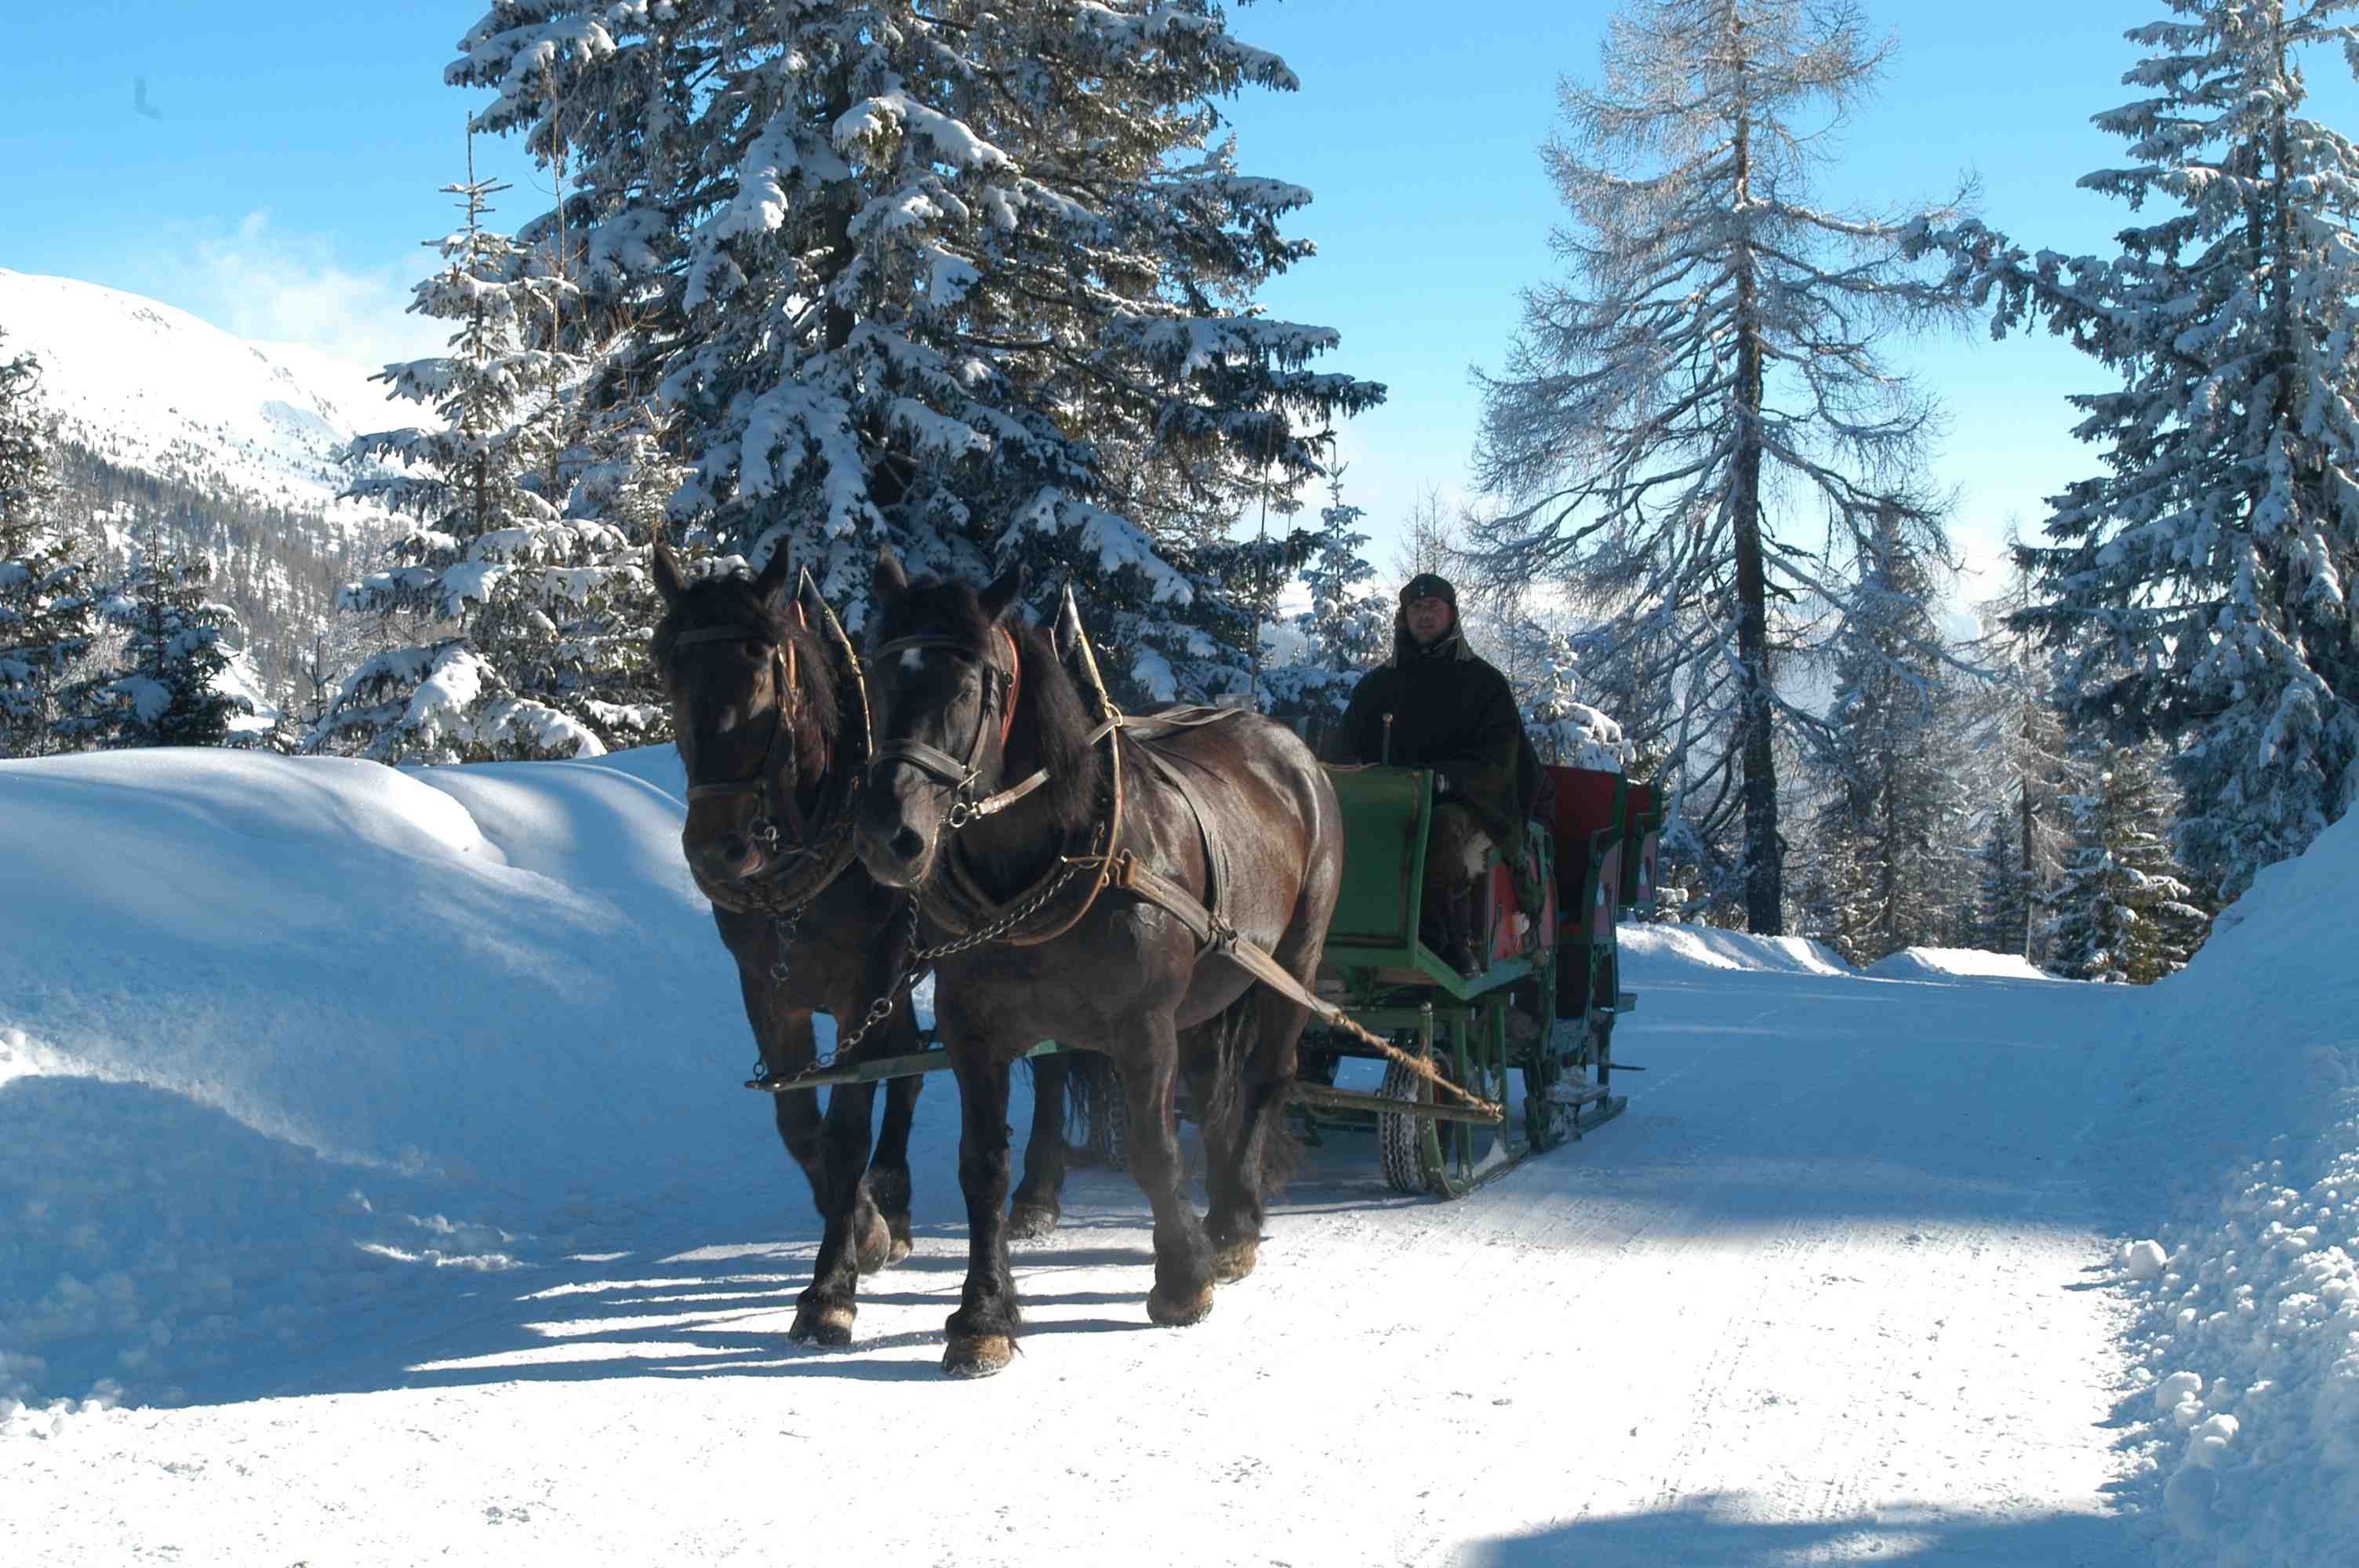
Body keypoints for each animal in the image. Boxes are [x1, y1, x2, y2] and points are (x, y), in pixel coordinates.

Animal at [646, 542, 1085, 1348]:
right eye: (669, 668)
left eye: (764, 667)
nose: (718, 850)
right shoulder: (769, 989)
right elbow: (801, 1127)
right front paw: (869, 1226)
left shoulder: (865, 982)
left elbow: (846, 1126)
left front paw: (832, 1286)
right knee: (908, 1065)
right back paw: (897, 1198)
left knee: (1051, 1059)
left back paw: (1036, 1194)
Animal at [853, 546, 1339, 1367]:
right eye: (879, 673)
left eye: (966, 689)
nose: (892, 837)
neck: (1054, 858)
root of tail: (1290, 747)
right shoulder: (970, 1028)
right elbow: (982, 1164)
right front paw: (983, 1314)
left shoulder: (1143, 1023)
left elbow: (1153, 1149)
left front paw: (1182, 1281)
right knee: (1215, 1088)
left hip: (1294, 963)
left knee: (1269, 1076)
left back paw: (1235, 1224)